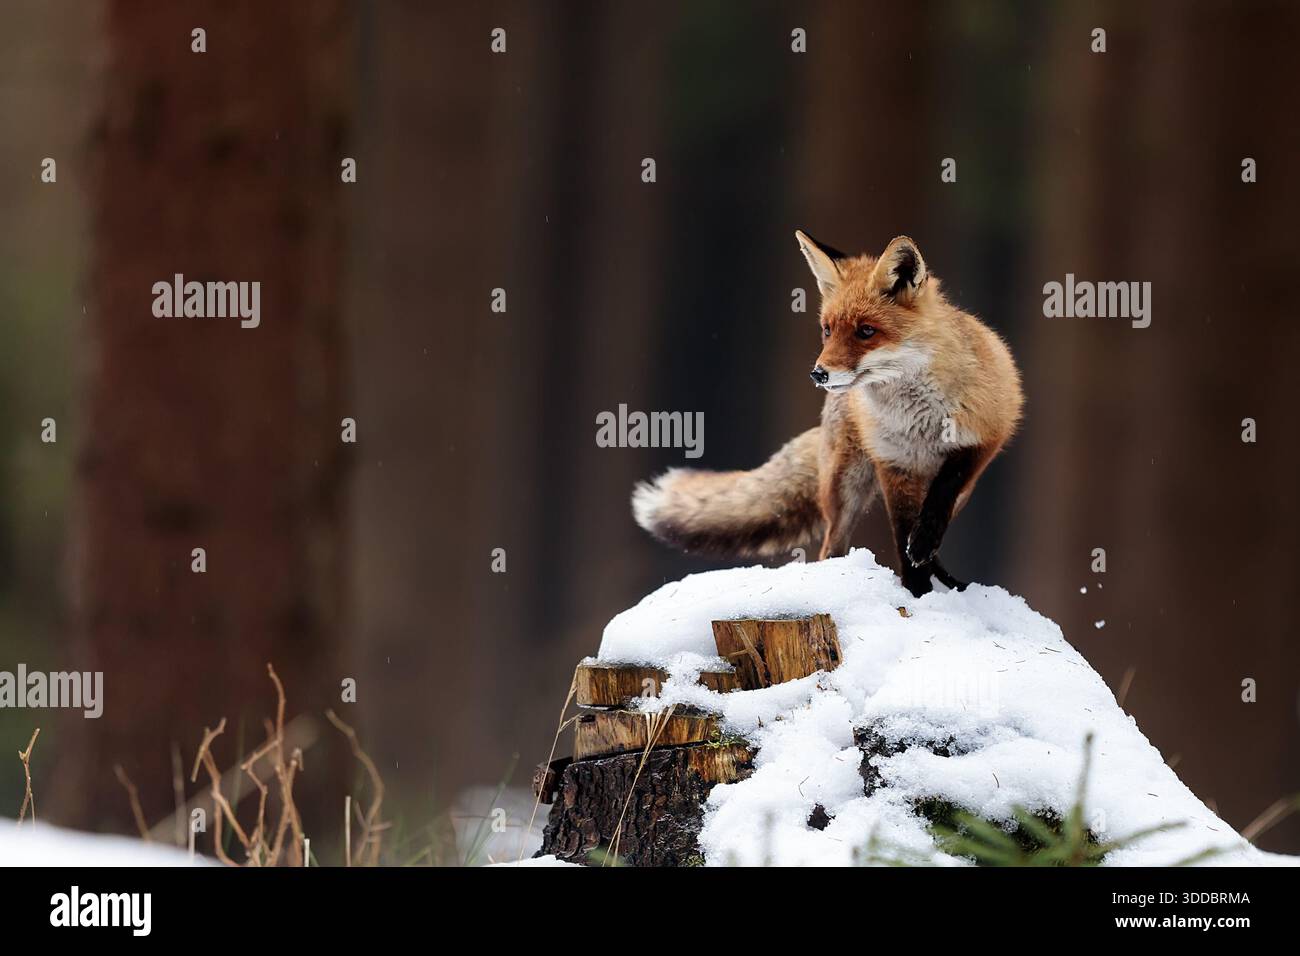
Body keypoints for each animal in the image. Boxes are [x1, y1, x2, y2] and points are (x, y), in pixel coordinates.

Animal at [632, 231, 1024, 598]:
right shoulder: (894, 464)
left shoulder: (982, 440)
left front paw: (924, 551)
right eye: (827, 330)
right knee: (830, 546)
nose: (818, 374)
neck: (917, 421)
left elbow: (940, 496)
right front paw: (916, 592)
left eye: (866, 331)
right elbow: (901, 534)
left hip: (958, 492)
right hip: (844, 487)